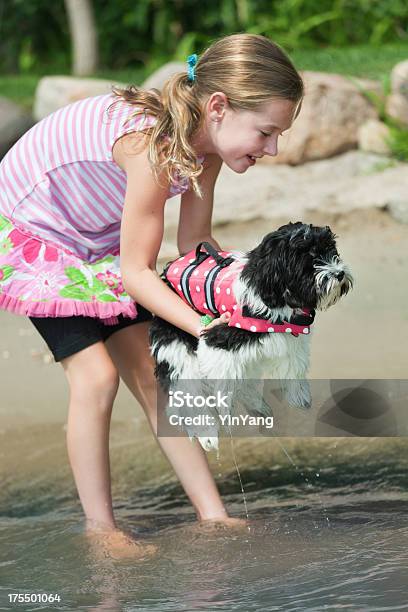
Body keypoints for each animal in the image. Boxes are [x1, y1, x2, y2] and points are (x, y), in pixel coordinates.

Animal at [150, 222, 354, 452]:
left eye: (331, 251)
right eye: (310, 261)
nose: (339, 273)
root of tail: (165, 275)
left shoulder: (289, 335)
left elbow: (294, 364)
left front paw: (299, 396)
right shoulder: (219, 338)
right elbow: (222, 380)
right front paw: (224, 414)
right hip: (175, 337)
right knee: (186, 384)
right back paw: (206, 432)